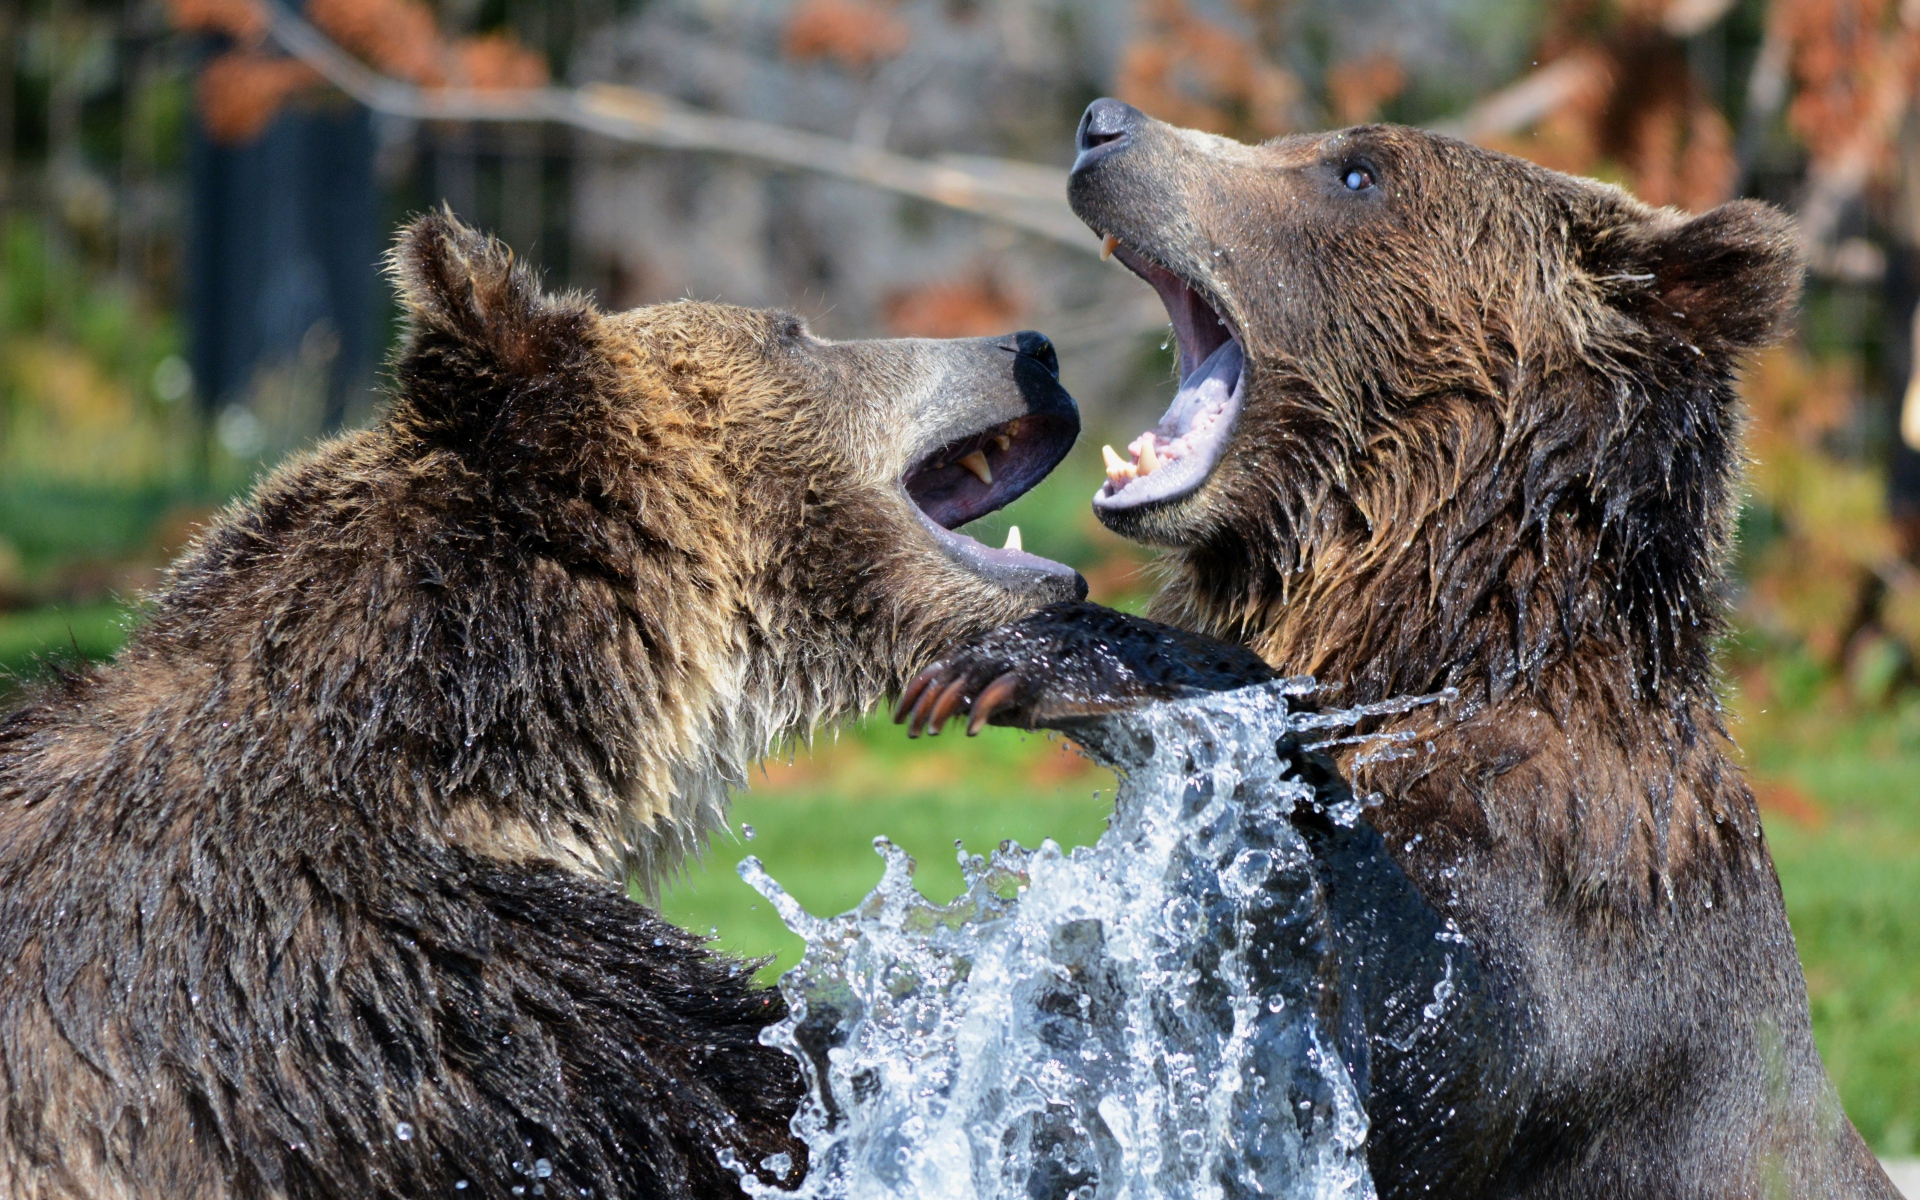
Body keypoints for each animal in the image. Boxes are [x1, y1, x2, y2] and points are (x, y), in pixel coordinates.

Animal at [899, 101, 1899, 1199]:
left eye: (1356, 173)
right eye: (1303, 142)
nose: (1107, 127)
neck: (1444, 641)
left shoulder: (1577, 910)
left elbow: (1426, 1021)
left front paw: (1043, 658)